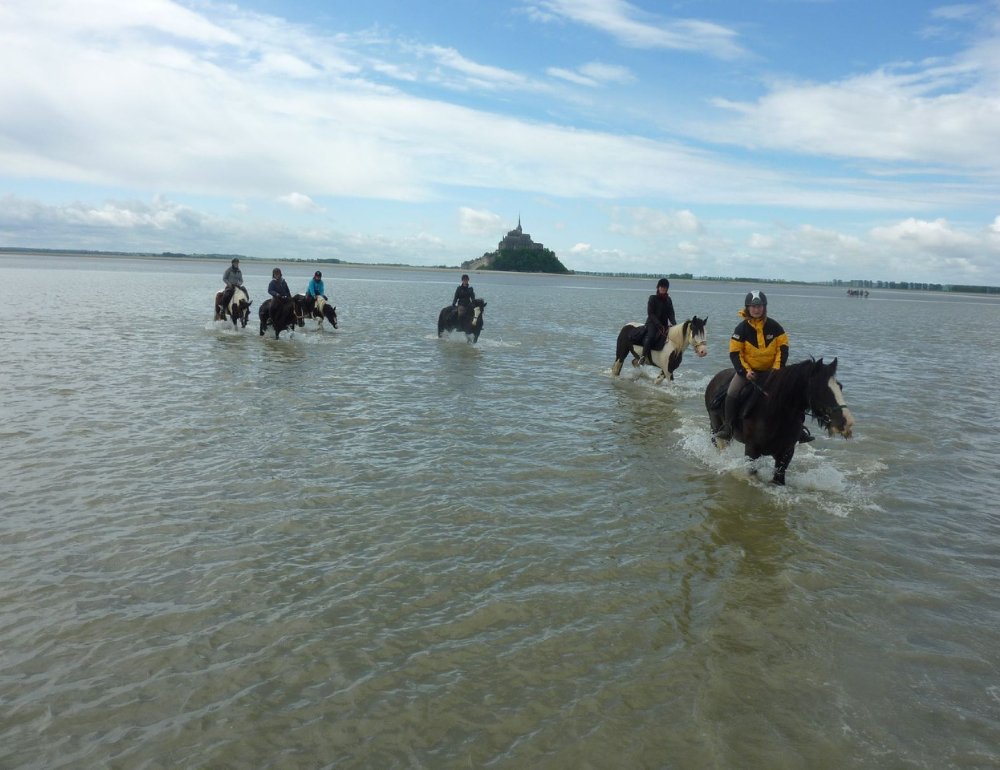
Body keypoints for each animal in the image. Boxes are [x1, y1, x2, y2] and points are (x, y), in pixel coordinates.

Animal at [708, 356, 856, 484]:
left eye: (840, 386)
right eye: (822, 389)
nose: (847, 422)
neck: (775, 414)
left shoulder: (786, 453)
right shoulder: (751, 451)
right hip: (718, 428)